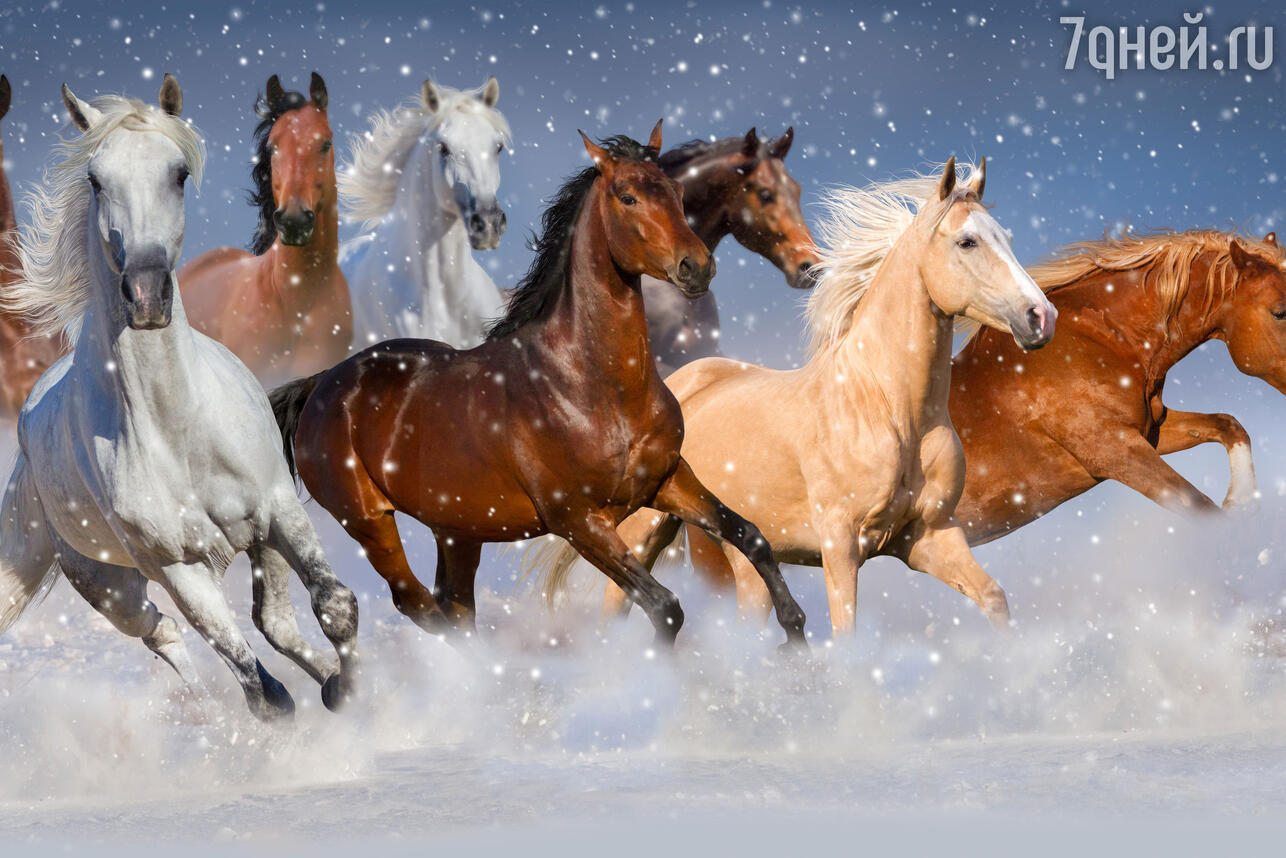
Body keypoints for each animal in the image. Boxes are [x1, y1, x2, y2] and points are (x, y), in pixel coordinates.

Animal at [536, 159, 1058, 637]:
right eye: (967, 241)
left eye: (1006, 238)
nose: (1041, 317)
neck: (888, 410)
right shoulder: (841, 546)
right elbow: (846, 634)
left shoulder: (930, 538)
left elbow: (994, 598)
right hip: (645, 530)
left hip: (744, 562)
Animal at [949, 229, 1286, 544]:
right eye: (1280, 312)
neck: (1101, 338)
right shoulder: (1114, 450)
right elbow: (1202, 507)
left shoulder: (1148, 431)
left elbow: (1228, 425)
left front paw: (1242, 502)